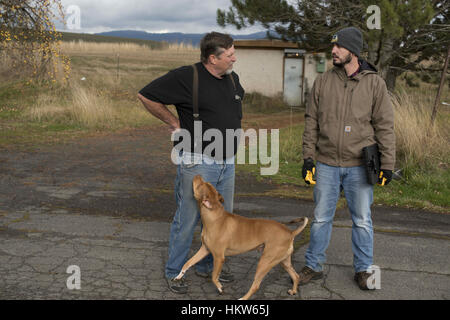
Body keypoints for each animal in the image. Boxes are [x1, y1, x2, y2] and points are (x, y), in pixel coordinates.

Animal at [176, 175, 310, 300]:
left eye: (200, 185)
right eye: (204, 183)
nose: (197, 175)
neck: (214, 216)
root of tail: (290, 232)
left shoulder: (219, 257)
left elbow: (214, 277)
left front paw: (220, 288)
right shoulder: (204, 250)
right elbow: (187, 263)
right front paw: (178, 276)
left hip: (265, 262)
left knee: (256, 286)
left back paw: (243, 298)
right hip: (284, 261)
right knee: (296, 276)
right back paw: (293, 291)